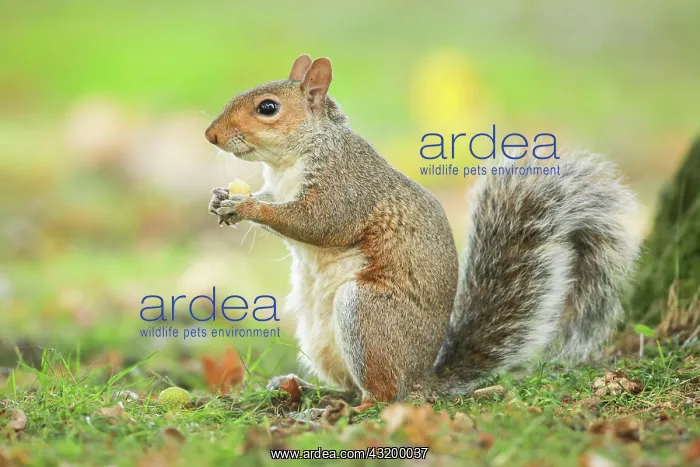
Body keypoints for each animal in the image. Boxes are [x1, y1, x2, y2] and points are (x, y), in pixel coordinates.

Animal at [204, 54, 641, 405]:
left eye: (268, 108)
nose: (210, 135)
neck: (289, 160)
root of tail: (421, 379)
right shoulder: (279, 185)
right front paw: (222, 198)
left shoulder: (346, 186)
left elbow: (320, 222)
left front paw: (246, 206)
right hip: (319, 337)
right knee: (352, 386)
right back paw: (309, 391)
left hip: (367, 314)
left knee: (382, 395)